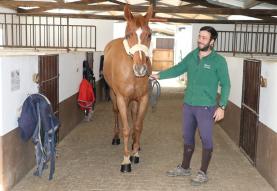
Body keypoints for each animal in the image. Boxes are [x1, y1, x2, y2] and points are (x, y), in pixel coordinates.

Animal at [102, 5, 152, 172]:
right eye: (129, 34)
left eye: (149, 34)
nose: (141, 69)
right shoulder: (122, 99)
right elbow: (126, 129)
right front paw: (125, 161)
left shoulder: (143, 99)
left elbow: (137, 126)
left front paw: (135, 153)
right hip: (113, 96)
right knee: (116, 114)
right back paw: (116, 137)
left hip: (134, 101)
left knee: (134, 116)